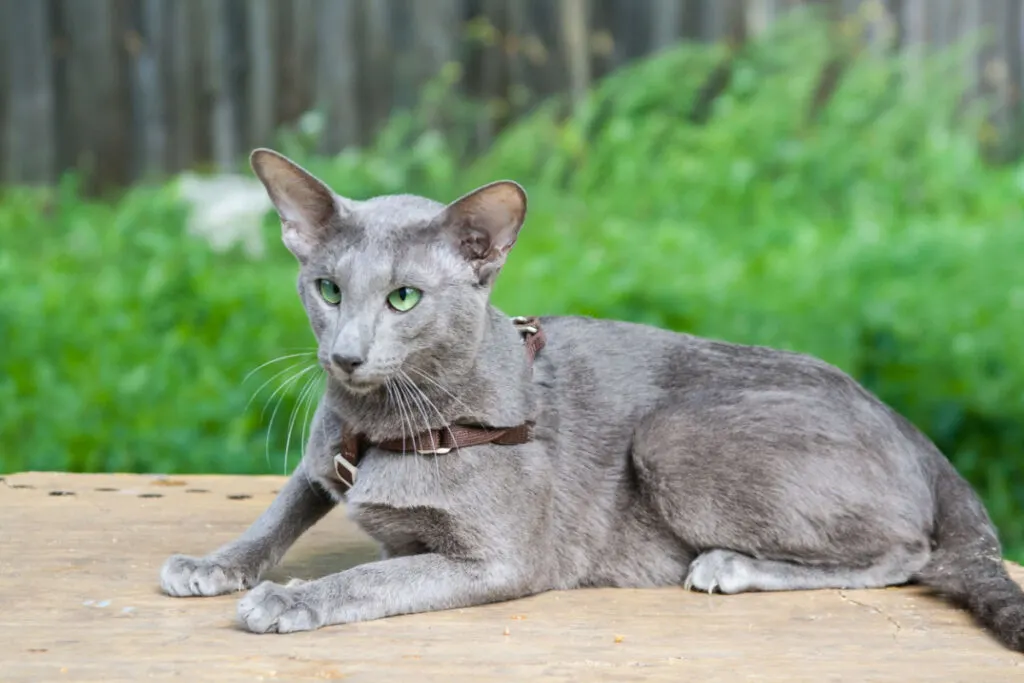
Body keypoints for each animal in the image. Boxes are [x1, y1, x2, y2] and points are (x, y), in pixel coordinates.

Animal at [159, 148, 1024, 651]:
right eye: (327, 288)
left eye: (404, 298)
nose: (344, 354)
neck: (381, 424)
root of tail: (909, 426)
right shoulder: (322, 455)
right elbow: (280, 507)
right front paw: (212, 564)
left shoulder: (500, 557)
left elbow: (374, 577)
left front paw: (287, 598)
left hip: (674, 433)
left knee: (905, 553)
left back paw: (731, 565)